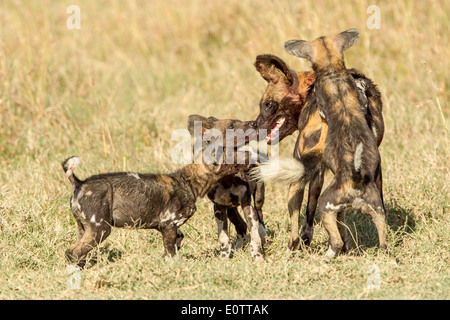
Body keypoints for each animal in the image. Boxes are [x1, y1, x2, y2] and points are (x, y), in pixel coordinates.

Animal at [62, 116, 253, 266]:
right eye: (232, 152)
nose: (251, 156)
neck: (189, 182)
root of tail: (80, 183)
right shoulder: (169, 225)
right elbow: (172, 254)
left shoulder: (169, 228)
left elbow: (175, 244)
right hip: (100, 229)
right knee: (72, 253)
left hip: (84, 229)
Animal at [187, 114, 266, 260]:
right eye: (231, 126)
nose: (254, 123)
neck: (227, 179)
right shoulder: (219, 208)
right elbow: (223, 237)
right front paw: (224, 257)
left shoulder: (247, 205)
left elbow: (254, 235)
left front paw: (258, 256)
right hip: (231, 210)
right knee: (241, 226)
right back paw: (238, 247)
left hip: (258, 198)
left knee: (259, 216)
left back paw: (263, 234)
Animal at [250, 52, 384, 251]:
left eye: (268, 104)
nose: (253, 125)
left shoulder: (308, 167)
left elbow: (305, 214)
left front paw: (304, 241)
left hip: (298, 176)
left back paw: (293, 247)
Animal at [284, 29, 386, 260]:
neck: (333, 72)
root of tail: (356, 182)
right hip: (377, 208)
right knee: (383, 240)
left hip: (325, 205)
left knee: (336, 240)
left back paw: (327, 255)